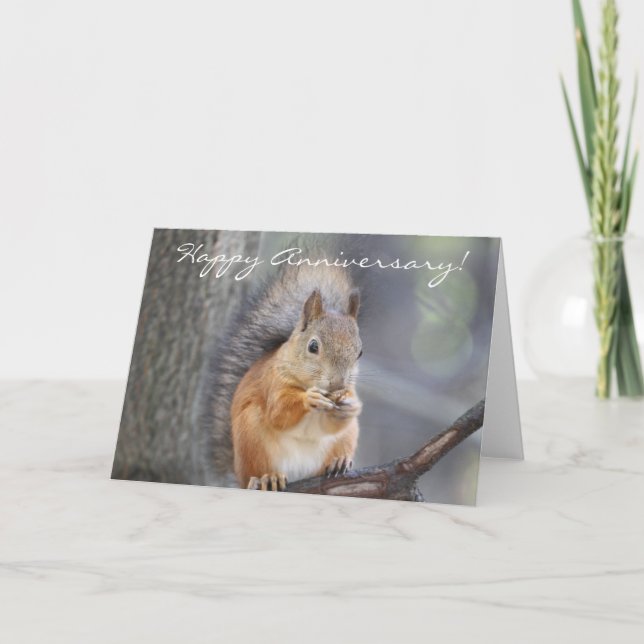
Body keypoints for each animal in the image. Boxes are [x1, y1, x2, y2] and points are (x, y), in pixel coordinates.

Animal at [198, 256, 363, 491]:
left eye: (360, 352)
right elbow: (278, 412)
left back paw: (338, 461)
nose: (338, 384)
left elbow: (332, 425)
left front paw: (349, 405)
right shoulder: (272, 382)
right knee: (257, 471)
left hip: (346, 438)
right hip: (251, 437)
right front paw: (309, 399)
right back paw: (266, 478)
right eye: (313, 346)